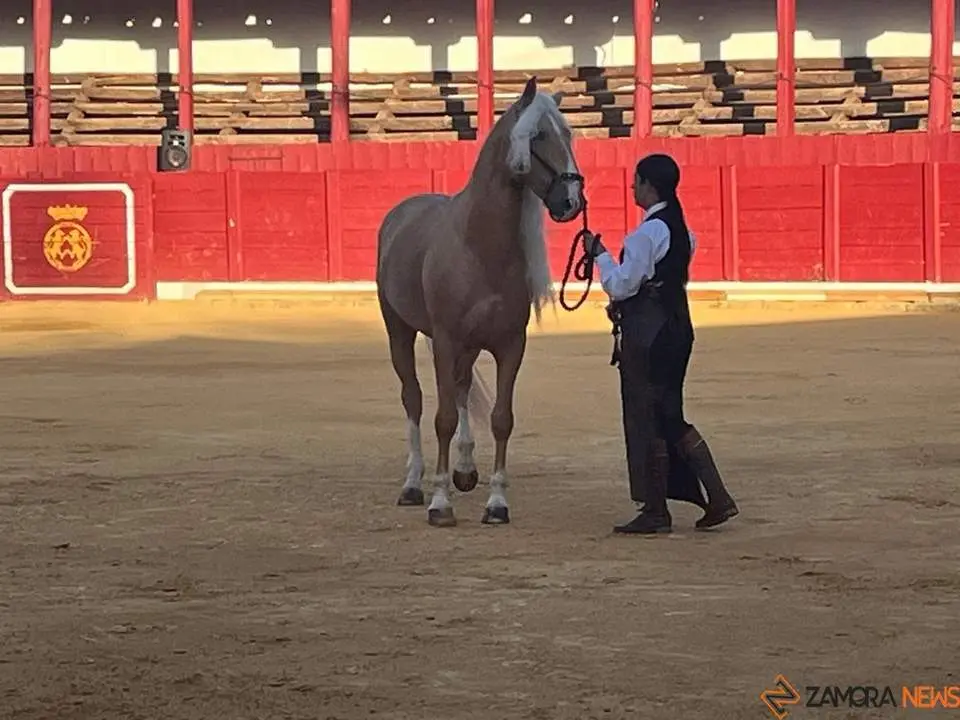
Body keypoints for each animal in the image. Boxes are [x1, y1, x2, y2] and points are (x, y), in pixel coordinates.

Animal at [375, 76, 586, 527]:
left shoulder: (508, 346)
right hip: (399, 330)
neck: (479, 246)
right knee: (414, 398)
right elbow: (442, 418)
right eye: (537, 136)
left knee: (460, 386)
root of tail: (402, 211)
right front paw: (440, 503)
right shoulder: (446, 340)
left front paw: (497, 503)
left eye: (568, 134)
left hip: (468, 347)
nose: (571, 201)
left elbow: (500, 419)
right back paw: (413, 484)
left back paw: (466, 470)